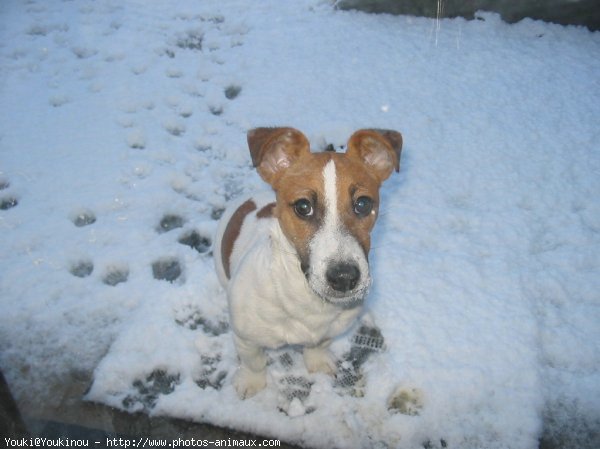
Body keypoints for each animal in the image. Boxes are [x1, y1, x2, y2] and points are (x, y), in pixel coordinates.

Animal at [213, 128, 400, 398]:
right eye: (303, 206)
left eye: (363, 204)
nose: (344, 277)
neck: (307, 298)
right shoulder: (245, 338)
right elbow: (254, 362)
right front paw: (252, 382)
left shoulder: (329, 330)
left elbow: (319, 345)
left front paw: (317, 362)